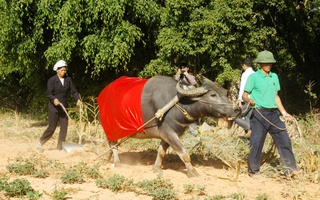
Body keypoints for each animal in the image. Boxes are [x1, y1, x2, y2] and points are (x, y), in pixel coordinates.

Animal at [97, 75, 240, 177]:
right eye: (213, 95)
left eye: (225, 93)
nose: (236, 109)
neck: (178, 104)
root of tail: (102, 95)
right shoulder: (169, 133)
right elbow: (184, 154)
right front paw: (193, 173)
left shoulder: (166, 135)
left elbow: (161, 152)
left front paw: (156, 168)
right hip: (111, 128)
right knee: (113, 145)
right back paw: (117, 162)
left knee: (112, 145)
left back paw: (108, 158)